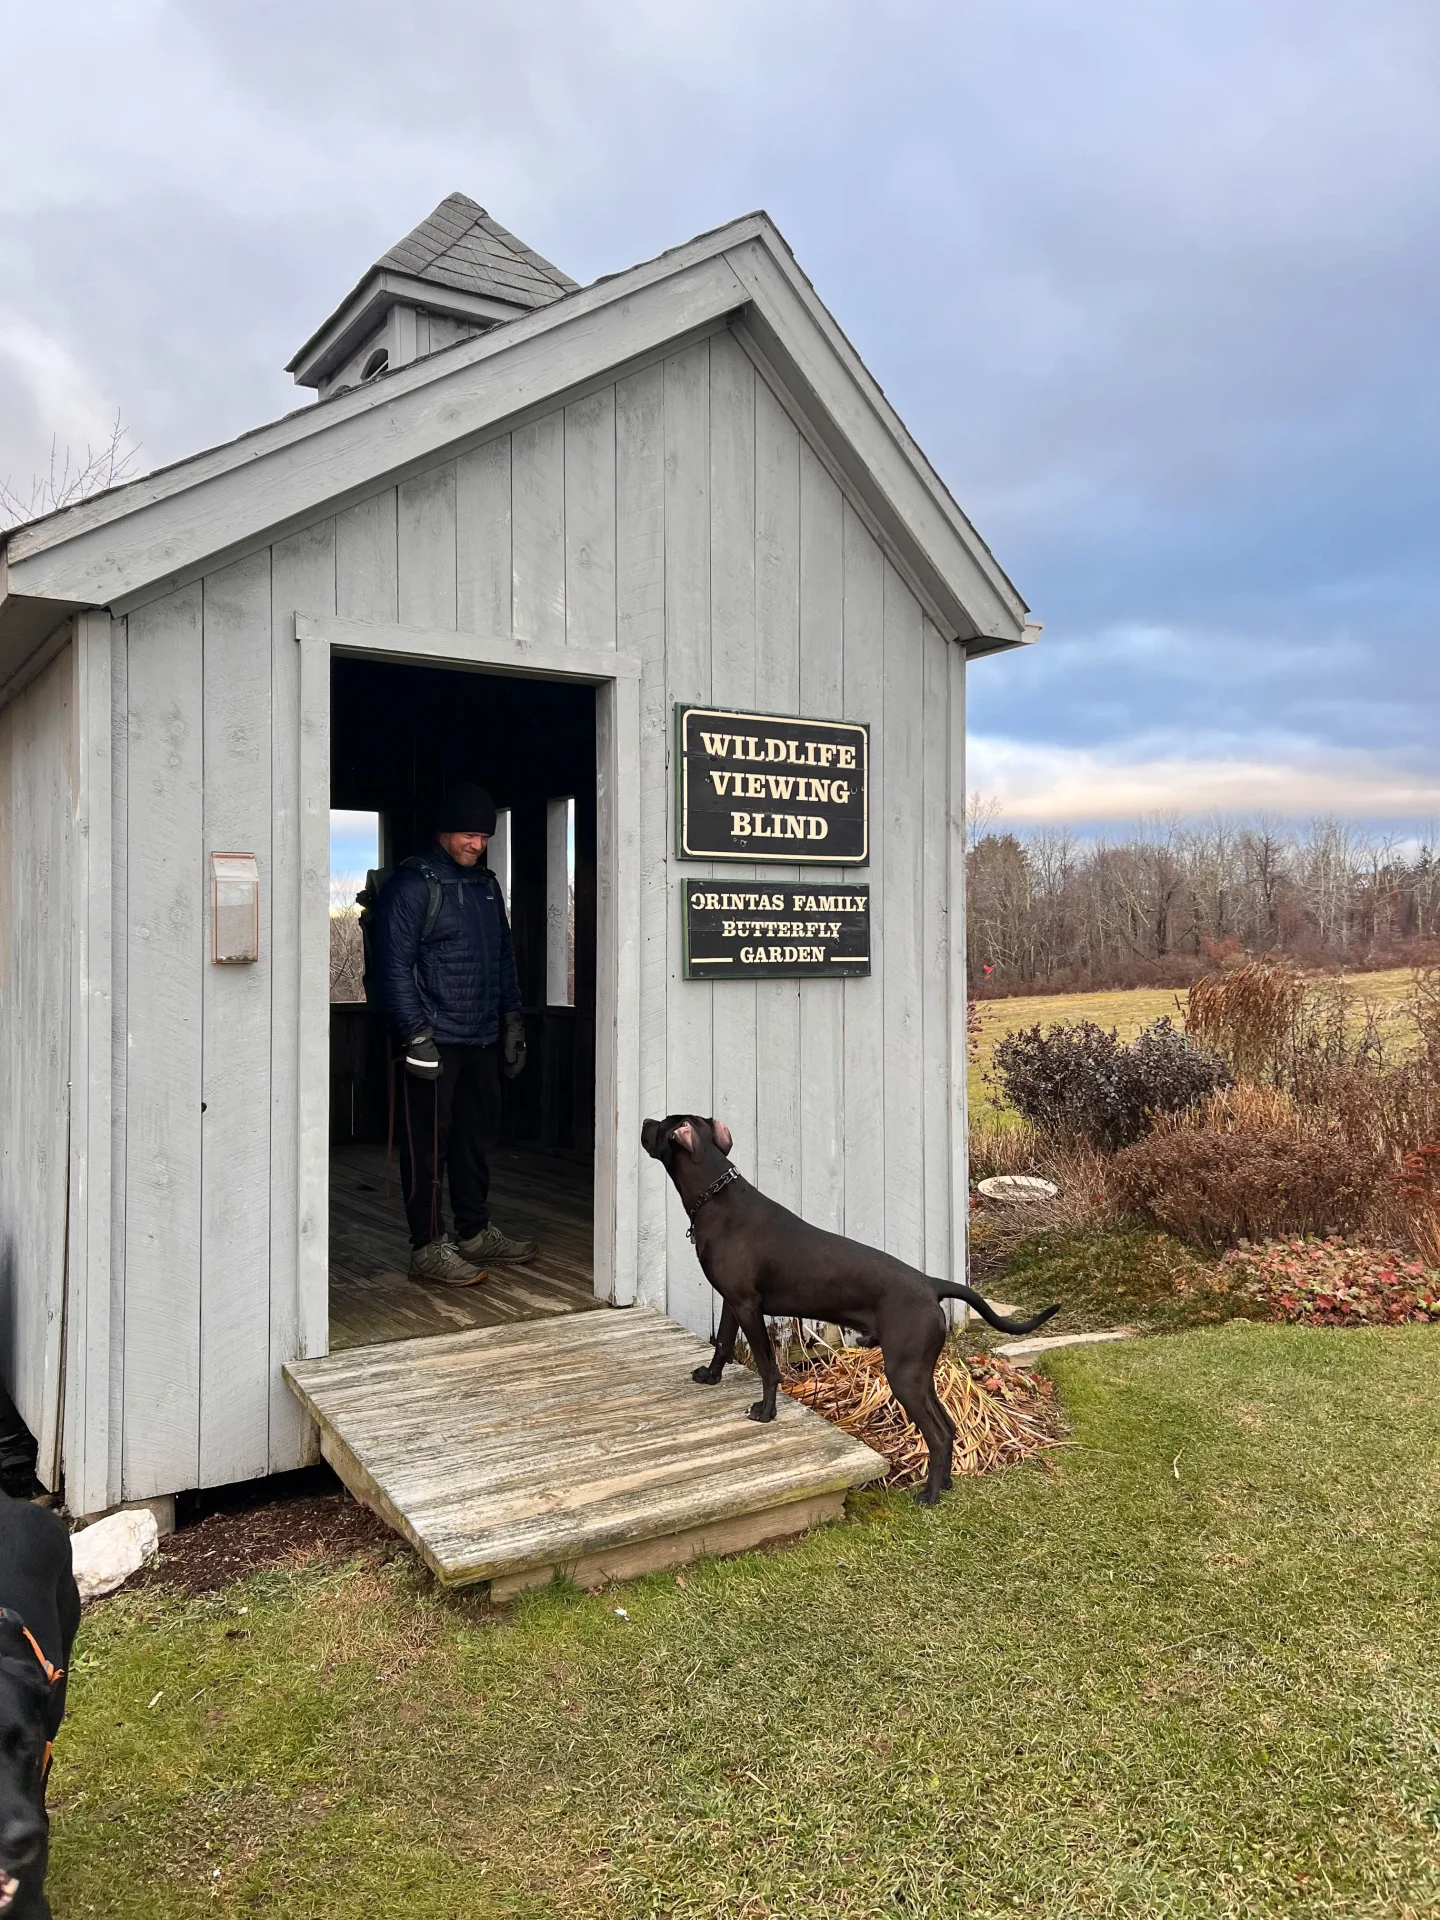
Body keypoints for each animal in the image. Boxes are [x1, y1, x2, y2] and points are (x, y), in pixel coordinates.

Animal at [641, 1121, 1059, 1505]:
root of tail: (931, 1283)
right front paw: (710, 1377)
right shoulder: (732, 1301)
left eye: (662, 1125)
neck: (716, 1197)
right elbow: (723, 1344)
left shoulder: (747, 1305)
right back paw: (945, 1484)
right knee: (949, 1425)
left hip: (903, 1373)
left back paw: (929, 1495)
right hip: (919, 1371)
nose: (645, 1122)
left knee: (938, 1434)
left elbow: (766, 1365)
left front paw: (766, 1411)